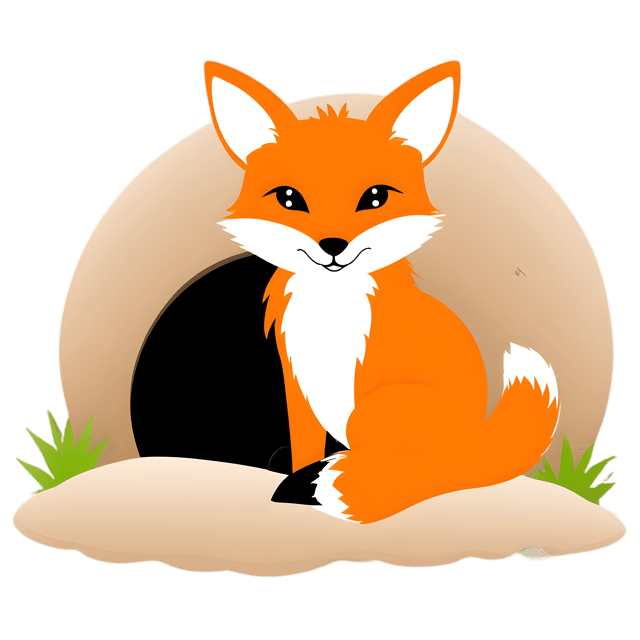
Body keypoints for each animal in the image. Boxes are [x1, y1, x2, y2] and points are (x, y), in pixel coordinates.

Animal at [202, 60, 560, 524]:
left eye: (374, 198)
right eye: (289, 199)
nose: (333, 245)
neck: (331, 310)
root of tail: (476, 445)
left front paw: (328, 485)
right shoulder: (297, 387)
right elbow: (305, 448)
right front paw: (305, 476)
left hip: (383, 411)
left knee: (427, 474)